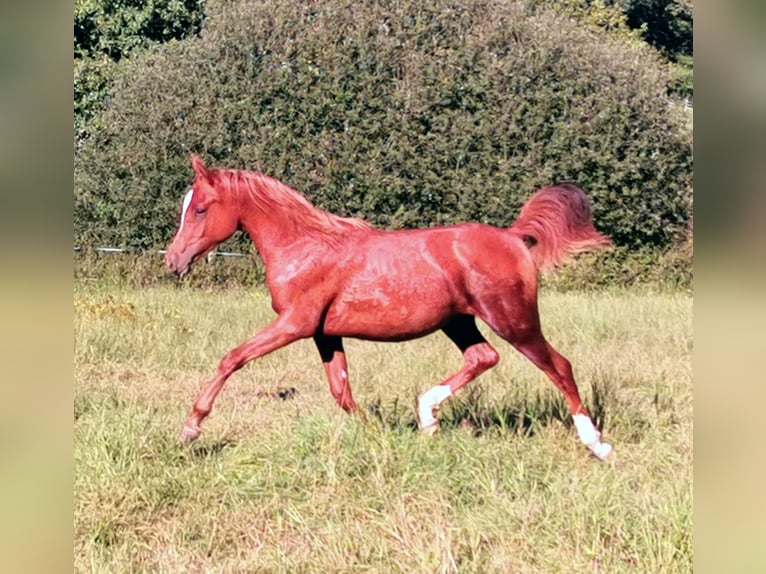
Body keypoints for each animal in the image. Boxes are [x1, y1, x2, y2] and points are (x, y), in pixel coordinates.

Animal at [165, 155, 616, 462]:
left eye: (201, 208)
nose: (173, 261)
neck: (304, 246)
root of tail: (513, 237)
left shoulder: (295, 323)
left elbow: (232, 358)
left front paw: (191, 427)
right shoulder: (324, 333)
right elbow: (342, 391)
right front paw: (378, 433)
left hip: (513, 320)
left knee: (559, 366)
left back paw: (596, 443)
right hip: (460, 321)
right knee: (483, 357)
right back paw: (428, 418)